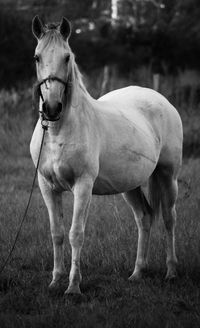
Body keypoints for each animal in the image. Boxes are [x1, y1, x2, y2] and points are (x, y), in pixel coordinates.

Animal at [30, 15, 183, 294]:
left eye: (67, 57)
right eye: (37, 57)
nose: (52, 108)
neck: (58, 132)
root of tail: (160, 99)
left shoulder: (83, 185)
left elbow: (75, 234)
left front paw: (73, 287)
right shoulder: (47, 186)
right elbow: (57, 233)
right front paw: (55, 281)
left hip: (168, 176)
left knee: (169, 219)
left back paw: (171, 272)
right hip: (130, 186)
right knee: (144, 218)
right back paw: (137, 273)